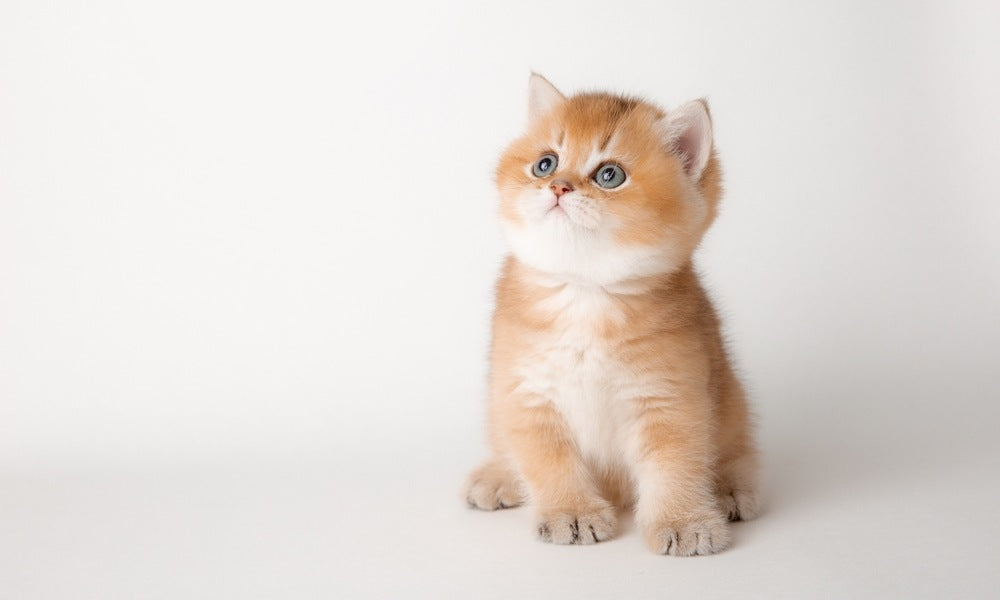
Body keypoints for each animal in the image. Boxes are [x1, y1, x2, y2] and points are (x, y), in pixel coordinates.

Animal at [464, 75, 760, 556]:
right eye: (545, 164)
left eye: (610, 175)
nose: (559, 187)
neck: (585, 294)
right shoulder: (525, 395)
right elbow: (548, 460)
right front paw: (571, 512)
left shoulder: (670, 397)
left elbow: (675, 464)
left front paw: (684, 520)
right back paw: (497, 476)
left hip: (731, 400)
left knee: (738, 450)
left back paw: (731, 489)